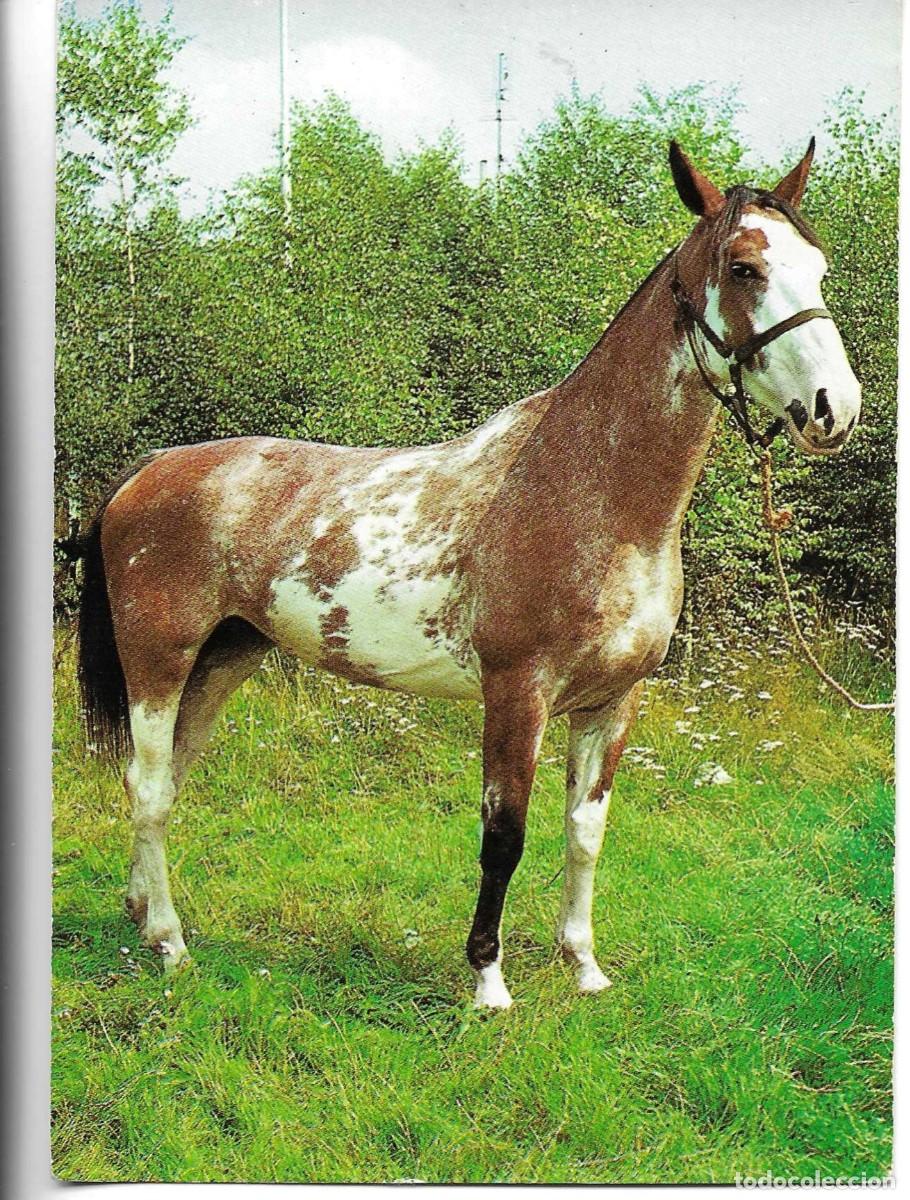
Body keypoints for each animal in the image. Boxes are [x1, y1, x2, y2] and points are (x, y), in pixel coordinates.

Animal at [75, 140, 861, 1009]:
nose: (836, 407)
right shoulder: (518, 692)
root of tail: (146, 471)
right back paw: (171, 944)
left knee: (167, 782)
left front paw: (583, 967)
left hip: (225, 660)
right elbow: (504, 837)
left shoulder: (614, 702)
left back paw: (142, 915)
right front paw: (488, 979)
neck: (589, 490)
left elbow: (585, 833)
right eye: (745, 266)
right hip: (160, 661)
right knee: (148, 787)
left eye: (819, 267)